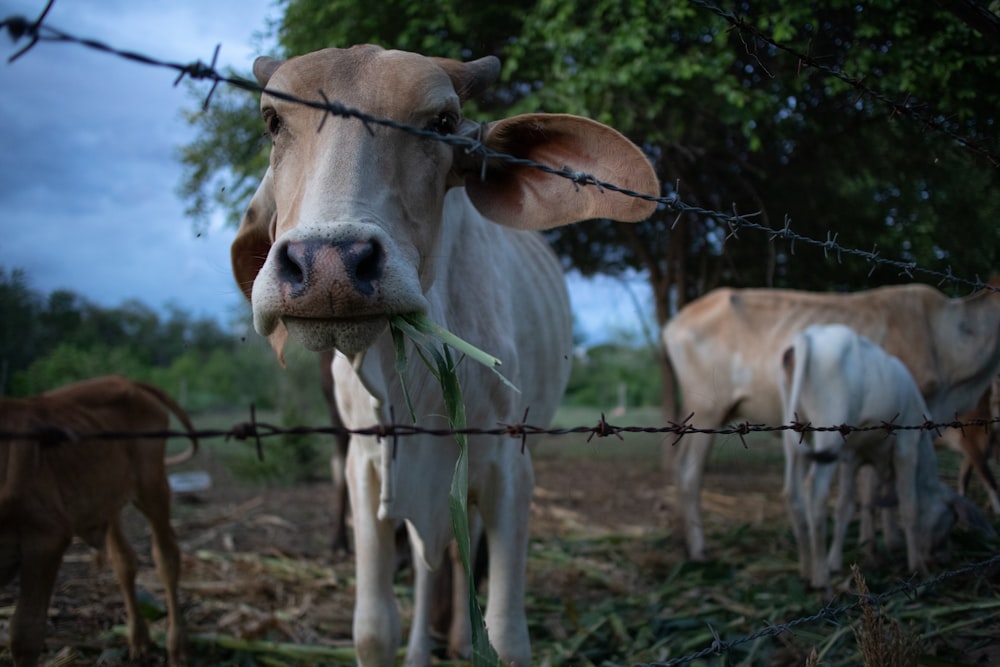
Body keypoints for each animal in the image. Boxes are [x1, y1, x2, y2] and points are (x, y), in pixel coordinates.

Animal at [0, 376, 199, 667]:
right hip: (108, 500)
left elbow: (25, 633)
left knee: (167, 558)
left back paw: (177, 646)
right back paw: (139, 639)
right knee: (124, 561)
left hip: (152, 484)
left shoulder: (46, 538)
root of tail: (125, 380)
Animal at [230, 43, 660, 667]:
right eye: (271, 121)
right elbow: (374, 626)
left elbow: (506, 635)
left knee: (461, 549)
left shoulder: (508, 467)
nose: (329, 266)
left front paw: (473, 634)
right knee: (430, 558)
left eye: (442, 122)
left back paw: (457, 634)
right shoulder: (368, 467)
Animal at [776, 326, 988, 592]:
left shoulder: (859, 457)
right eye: (950, 521)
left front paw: (875, 550)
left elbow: (866, 501)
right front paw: (918, 566)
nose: (943, 558)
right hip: (828, 431)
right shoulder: (906, 445)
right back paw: (821, 578)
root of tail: (809, 336)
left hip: (796, 432)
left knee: (792, 493)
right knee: (814, 492)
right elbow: (908, 504)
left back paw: (807, 569)